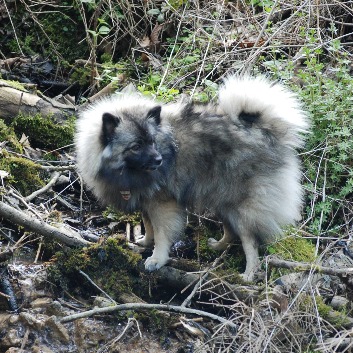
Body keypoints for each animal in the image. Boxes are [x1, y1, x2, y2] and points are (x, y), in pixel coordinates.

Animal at [75, 75, 308, 280]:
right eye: (136, 146)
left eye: (152, 141)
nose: (159, 159)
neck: (127, 170)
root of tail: (266, 131)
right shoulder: (145, 201)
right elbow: (149, 226)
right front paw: (145, 241)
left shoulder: (162, 204)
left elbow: (161, 233)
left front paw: (157, 259)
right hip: (222, 196)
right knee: (231, 231)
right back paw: (218, 246)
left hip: (243, 206)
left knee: (249, 240)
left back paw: (250, 273)